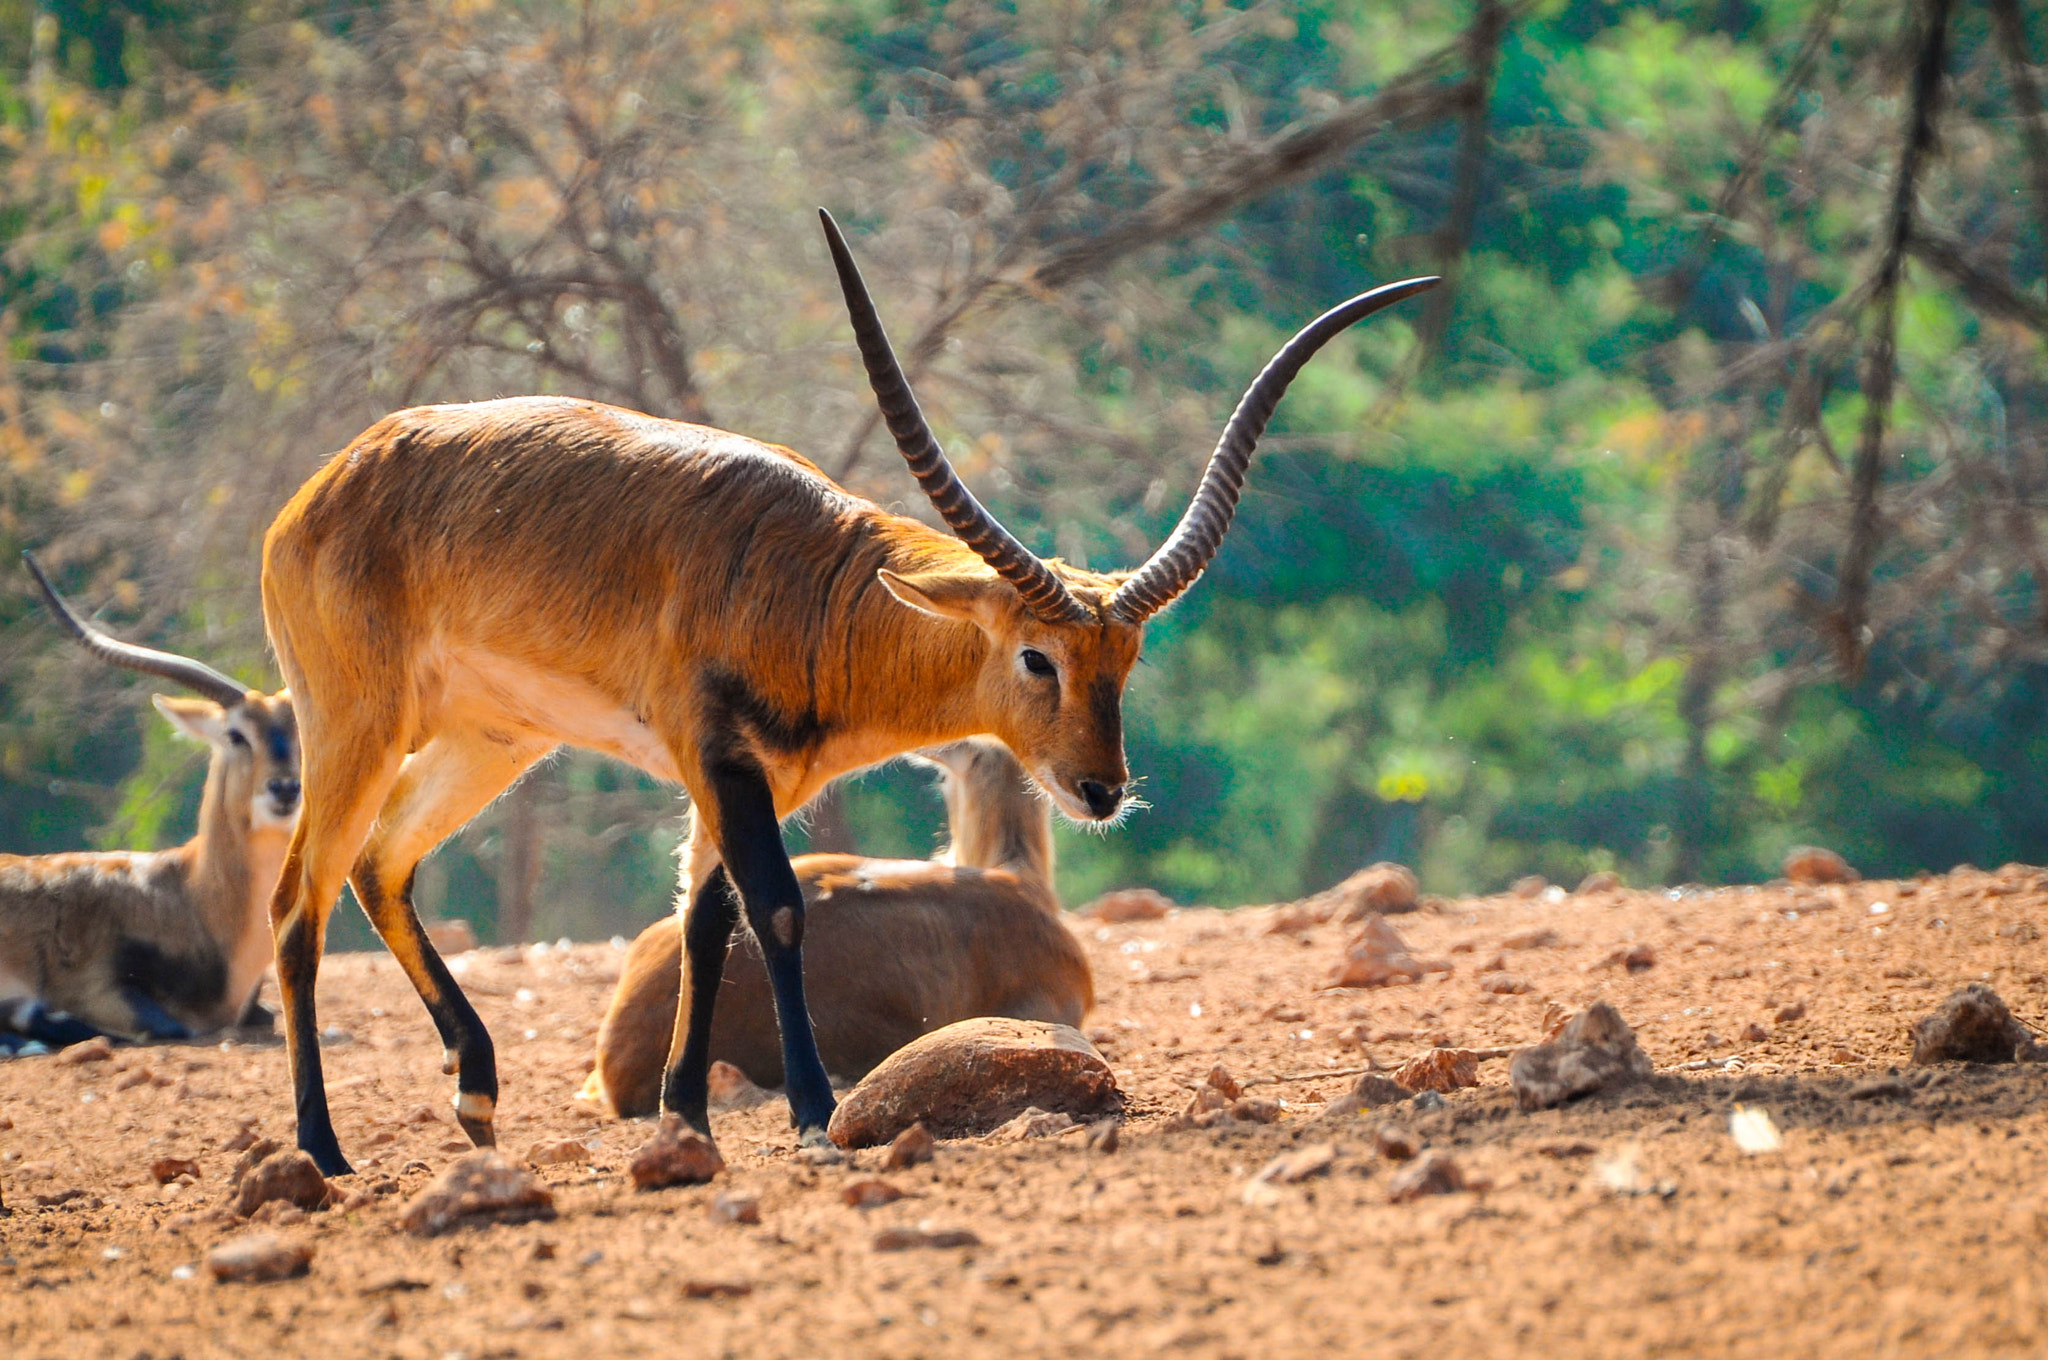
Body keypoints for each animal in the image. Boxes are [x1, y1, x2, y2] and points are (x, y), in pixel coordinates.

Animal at [1, 555, 299, 1048]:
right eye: (236, 734)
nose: (286, 788)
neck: (189, 896)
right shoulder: (96, 988)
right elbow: (165, 1022)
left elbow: (266, 1015)